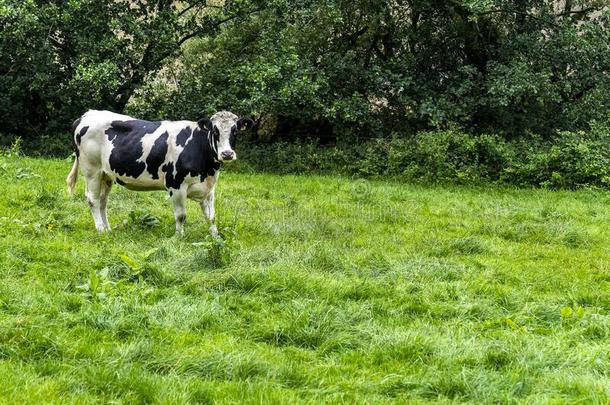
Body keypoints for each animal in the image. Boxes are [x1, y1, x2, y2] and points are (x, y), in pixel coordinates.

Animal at [64, 109, 249, 235]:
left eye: (235, 131)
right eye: (214, 131)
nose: (227, 154)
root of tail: (86, 115)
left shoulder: (208, 188)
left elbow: (211, 217)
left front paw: (215, 237)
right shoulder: (176, 185)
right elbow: (181, 215)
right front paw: (179, 237)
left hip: (106, 174)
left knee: (103, 201)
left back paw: (108, 229)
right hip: (91, 170)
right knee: (93, 200)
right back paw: (101, 230)